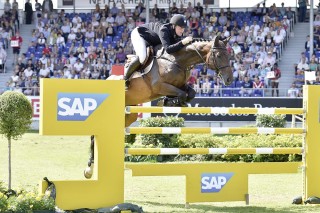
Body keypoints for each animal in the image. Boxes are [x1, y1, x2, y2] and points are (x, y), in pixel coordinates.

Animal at [82, 35, 234, 178]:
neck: (177, 61)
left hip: (129, 114)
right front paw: (168, 102)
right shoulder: (160, 86)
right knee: (93, 137)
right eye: (219, 56)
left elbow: (189, 93)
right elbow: (181, 94)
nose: (229, 80)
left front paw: (171, 102)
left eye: (229, 55)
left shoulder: (180, 85)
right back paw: (89, 169)